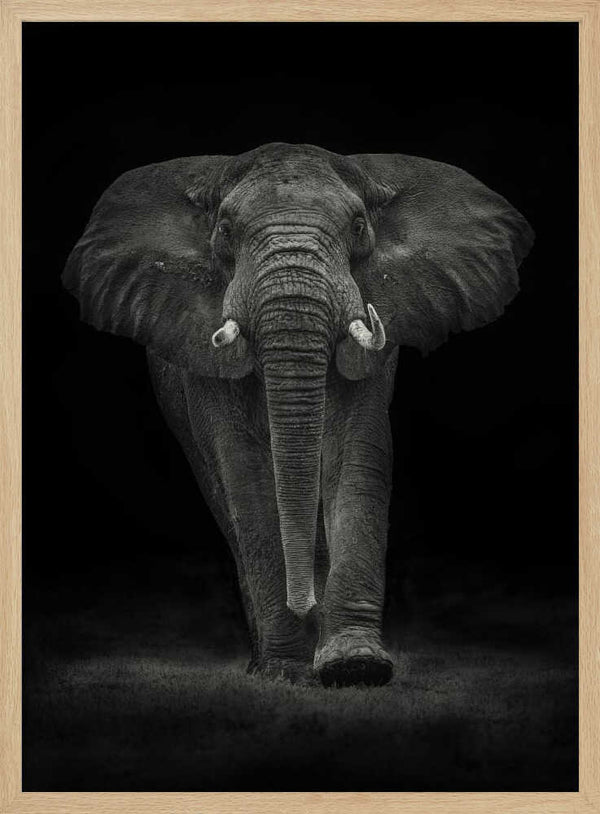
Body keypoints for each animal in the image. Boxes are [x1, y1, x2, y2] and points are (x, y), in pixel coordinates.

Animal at [62, 142, 533, 687]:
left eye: (358, 226)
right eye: (225, 229)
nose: (303, 602)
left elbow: (355, 455)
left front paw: (356, 667)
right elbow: (244, 472)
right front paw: (286, 671)